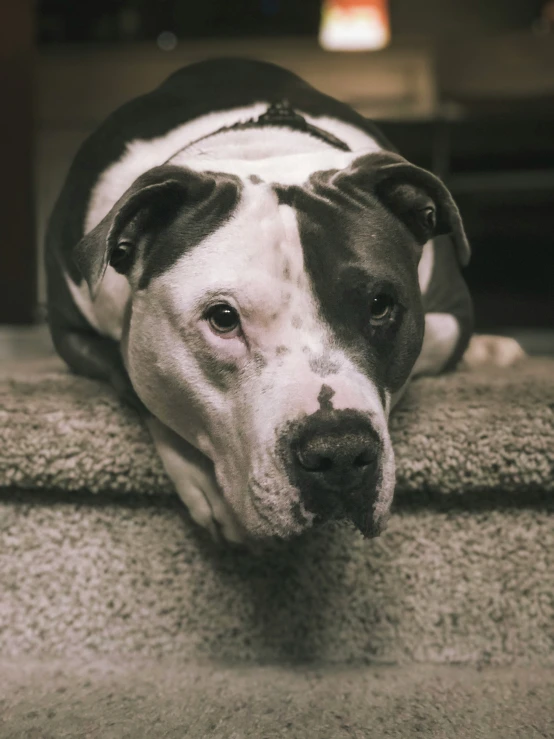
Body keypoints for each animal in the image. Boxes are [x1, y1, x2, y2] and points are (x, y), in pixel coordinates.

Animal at [43, 57, 516, 548]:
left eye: (380, 305)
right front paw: (201, 478)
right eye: (223, 318)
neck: (262, 149)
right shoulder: (70, 331)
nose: (340, 454)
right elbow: (128, 376)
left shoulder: (453, 312)